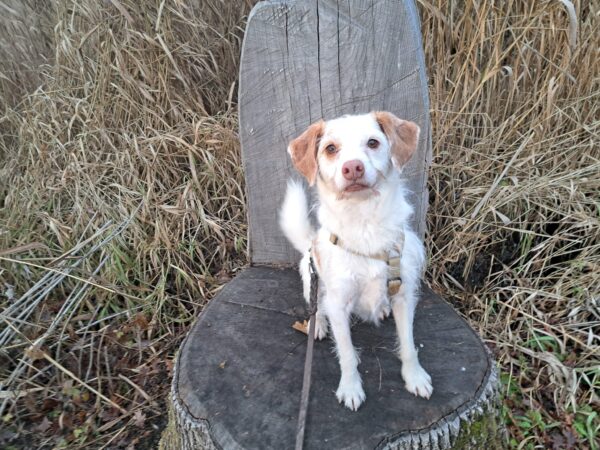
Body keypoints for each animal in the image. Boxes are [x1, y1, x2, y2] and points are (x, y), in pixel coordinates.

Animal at [279, 111, 432, 411]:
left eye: (373, 142)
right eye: (330, 148)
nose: (353, 168)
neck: (365, 226)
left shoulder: (404, 295)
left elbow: (408, 344)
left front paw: (414, 377)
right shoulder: (338, 305)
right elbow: (348, 353)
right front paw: (350, 387)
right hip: (311, 279)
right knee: (317, 305)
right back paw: (318, 324)